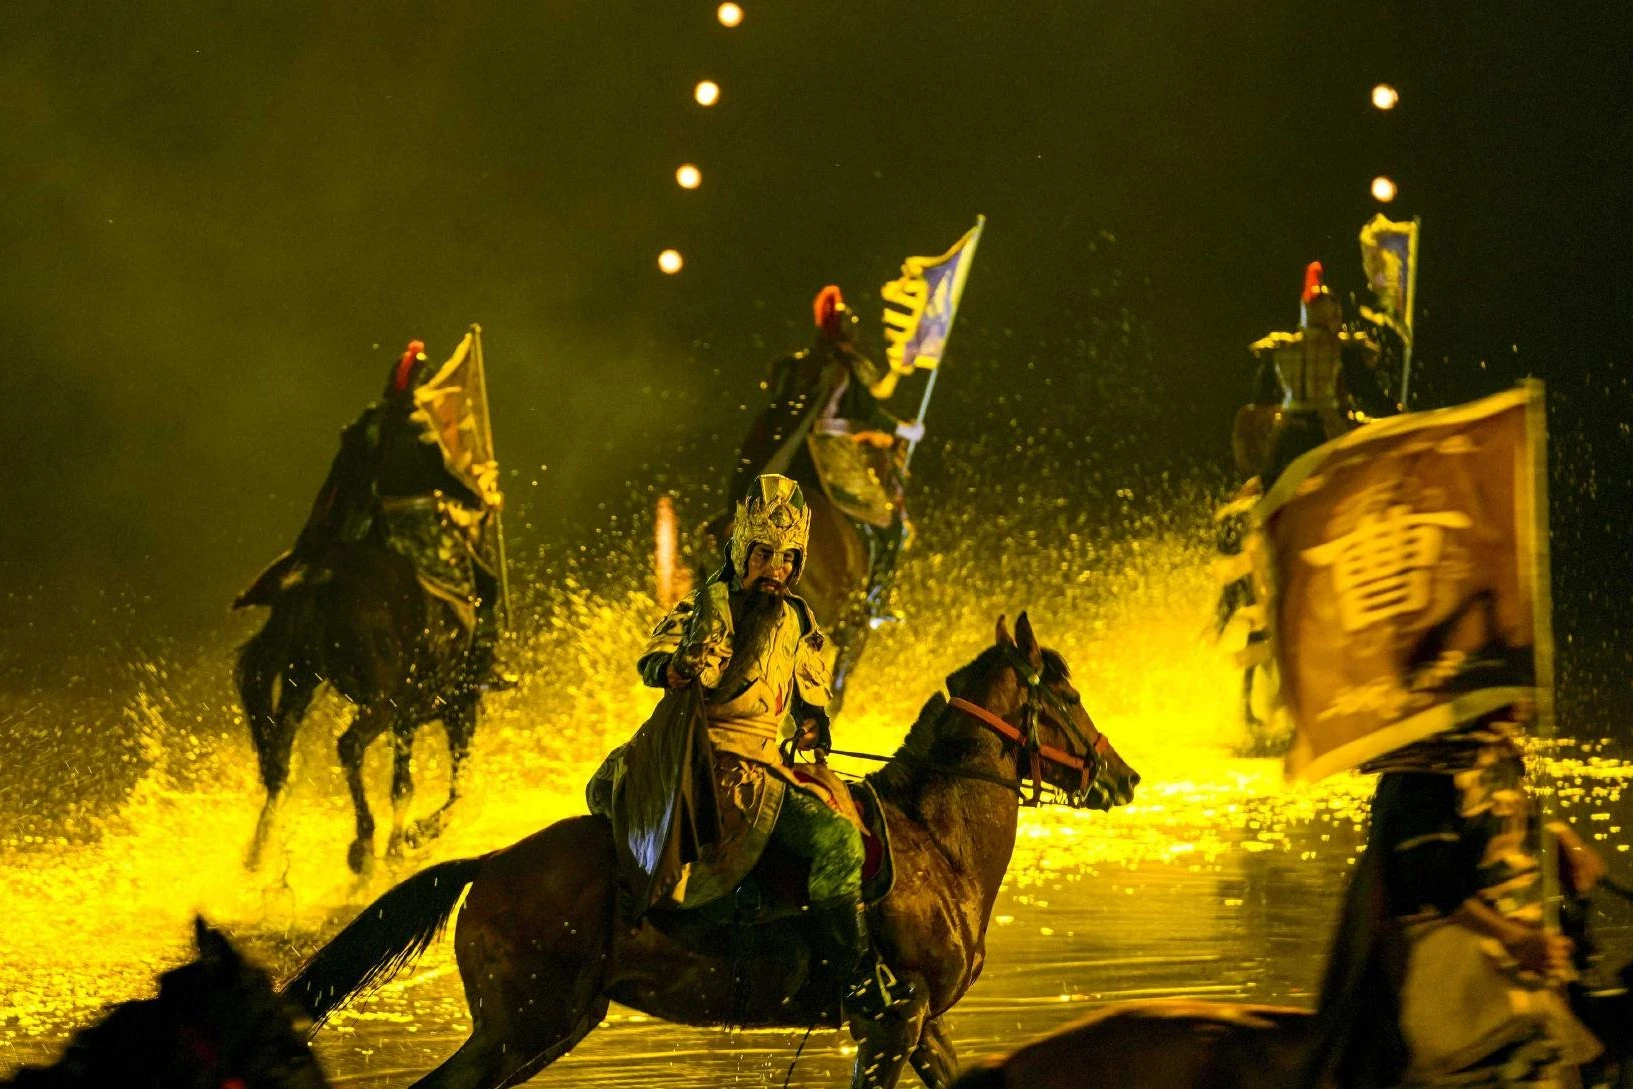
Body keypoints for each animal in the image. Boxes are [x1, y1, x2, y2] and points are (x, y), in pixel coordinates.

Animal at [235, 539, 483, 874]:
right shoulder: (454, 708)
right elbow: (454, 785)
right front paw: (415, 836)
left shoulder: (407, 718)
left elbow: (403, 786)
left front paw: (399, 847)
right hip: (380, 700)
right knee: (349, 745)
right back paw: (362, 845)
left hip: (301, 679)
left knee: (278, 759)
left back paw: (259, 852)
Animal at [283, 612, 1141, 1089]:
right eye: (1066, 695)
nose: (1123, 775)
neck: (933, 837)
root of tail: (491, 863)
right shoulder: (891, 1023)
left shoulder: (919, 1025)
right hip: (522, 1025)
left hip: (549, 1024)